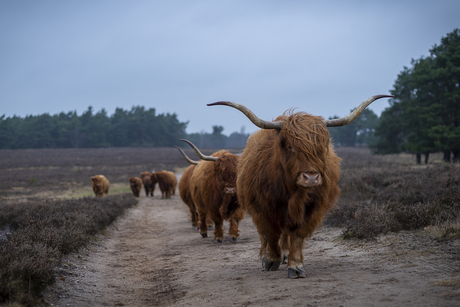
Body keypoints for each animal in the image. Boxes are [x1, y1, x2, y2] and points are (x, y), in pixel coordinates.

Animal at [210, 94, 394, 280]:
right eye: (290, 146)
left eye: (321, 148)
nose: (311, 177)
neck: (293, 193)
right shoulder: (262, 208)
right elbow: (270, 233)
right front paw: (272, 260)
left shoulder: (312, 209)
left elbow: (297, 236)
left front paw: (295, 265)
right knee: (264, 235)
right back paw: (265, 257)